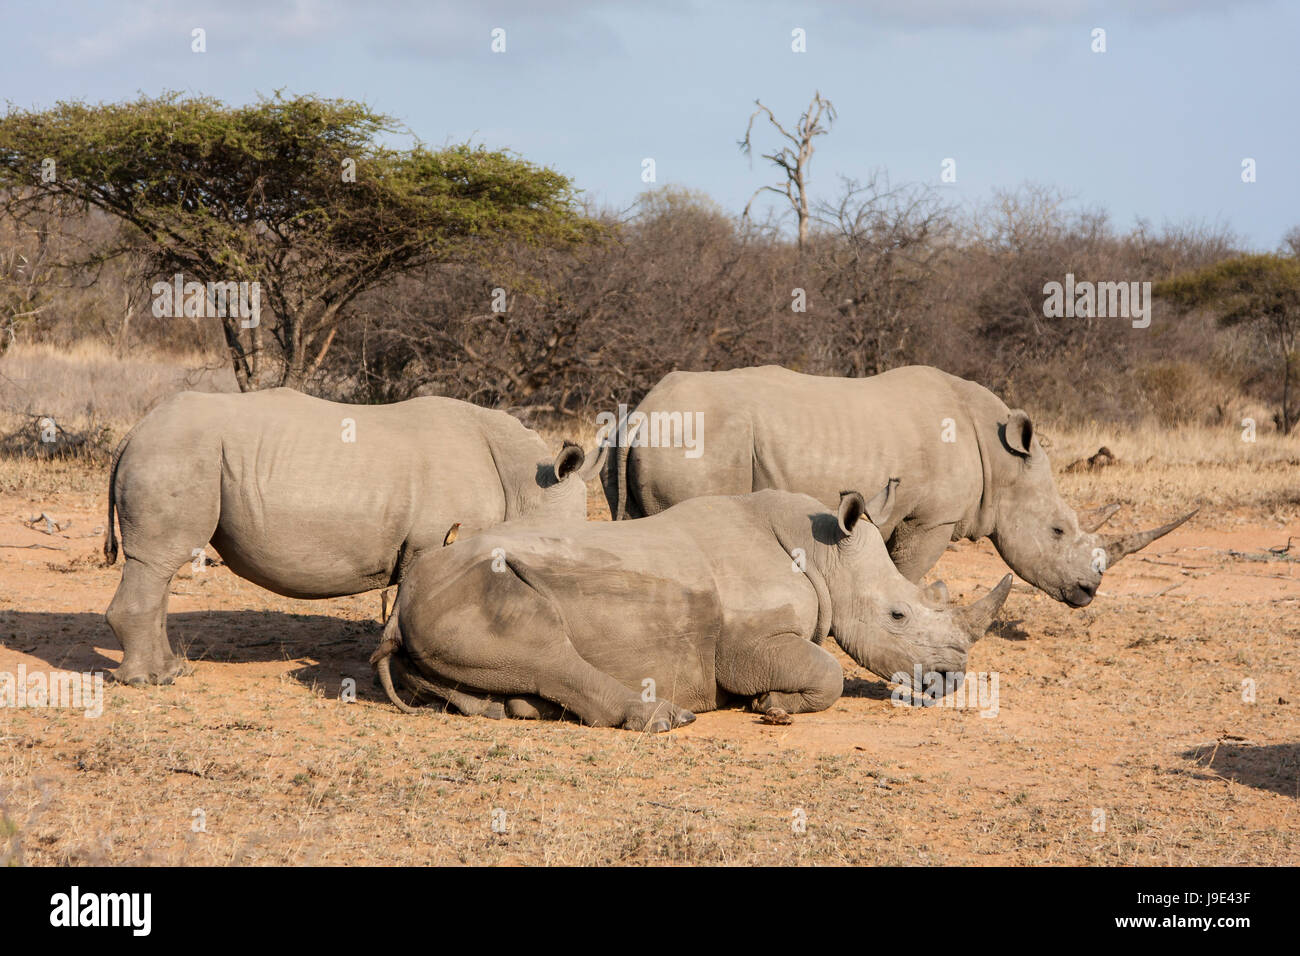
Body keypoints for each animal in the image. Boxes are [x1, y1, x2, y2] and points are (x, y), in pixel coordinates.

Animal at [101, 390, 598, 686]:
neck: (525, 481)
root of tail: (134, 432)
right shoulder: (434, 543)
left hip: (176, 453)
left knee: (160, 569)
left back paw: (170, 671)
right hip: (177, 453)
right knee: (158, 563)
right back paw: (150, 682)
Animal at [371, 486, 1008, 733]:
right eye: (898, 616)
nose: (952, 679)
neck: (830, 557)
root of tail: (399, 607)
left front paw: (771, 702)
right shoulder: (746, 644)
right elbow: (825, 672)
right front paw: (773, 706)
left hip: (439, 603)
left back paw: (523, 710)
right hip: (474, 588)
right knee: (542, 642)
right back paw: (669, 719)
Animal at [603, 364, 1190, 606]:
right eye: (1058, 531)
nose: (1089, 592)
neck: (1003, 461)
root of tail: (644, 411)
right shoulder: (932, 518)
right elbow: (906, 570)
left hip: (647, 437)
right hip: (700, 439)